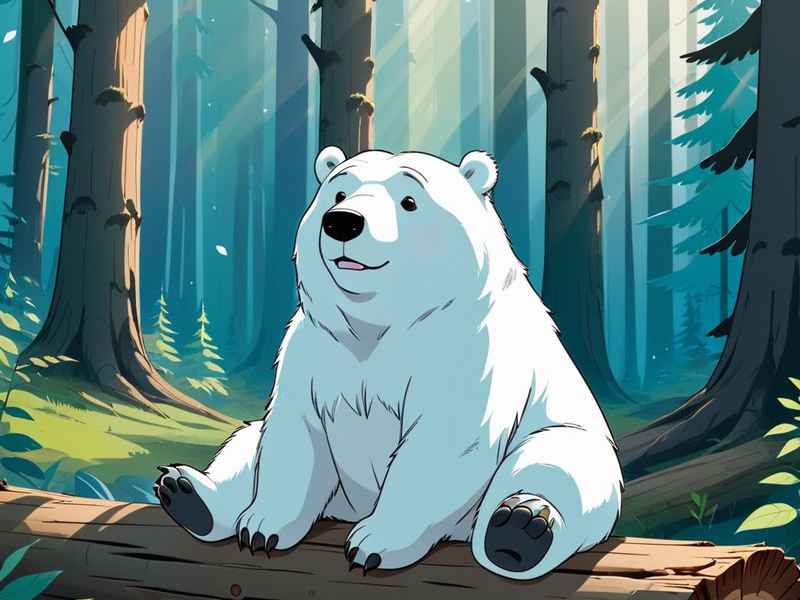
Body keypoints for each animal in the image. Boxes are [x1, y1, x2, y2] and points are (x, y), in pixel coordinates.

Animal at [156, 145, 623, 580]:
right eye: (338, 192)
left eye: (410, 201)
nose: (343, 221)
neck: (381, 323)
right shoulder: (316, 348)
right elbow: (294, 432)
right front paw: (262, 526)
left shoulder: (467, 351)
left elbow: (441, 443)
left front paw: (375, 543)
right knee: (244, 444)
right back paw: (188, 493)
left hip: (563, 435)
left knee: (556, 467)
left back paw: (520, 528)